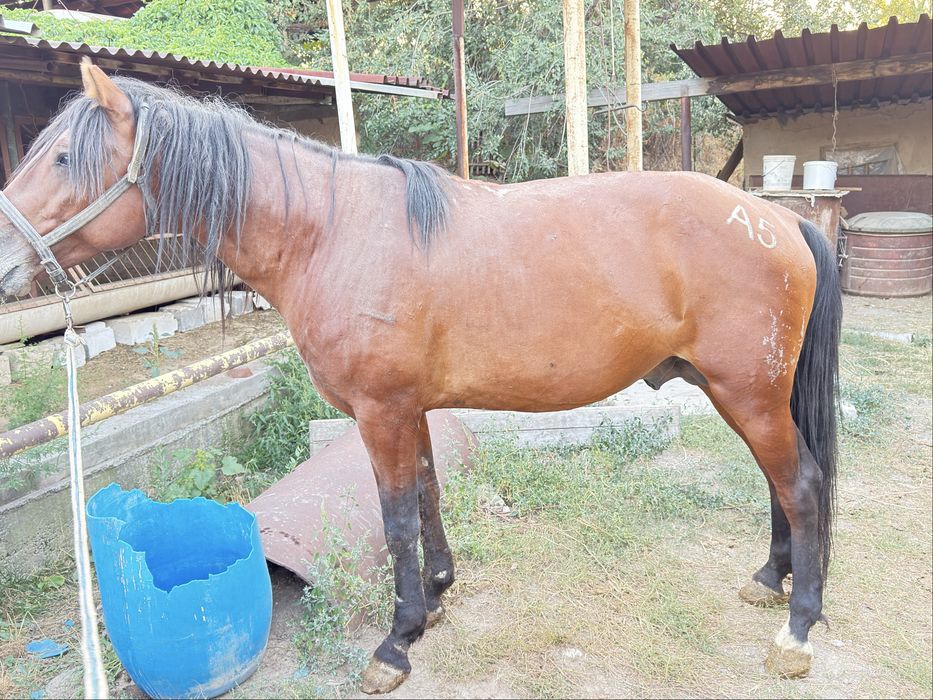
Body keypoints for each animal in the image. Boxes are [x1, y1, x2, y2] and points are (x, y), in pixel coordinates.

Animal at [0, 60, 840, 693]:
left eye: (64, 158)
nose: (7, 262)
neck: (331, 234)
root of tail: (778, 219)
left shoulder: (379, 412)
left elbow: (396, 518)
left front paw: (396, 642)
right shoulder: (411, 411)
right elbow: (429, 499)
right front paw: (435, 597)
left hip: (747, 394)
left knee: (799, 486)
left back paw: (796, 628)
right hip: (739, 395)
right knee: (779, 485)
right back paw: (769, 579)